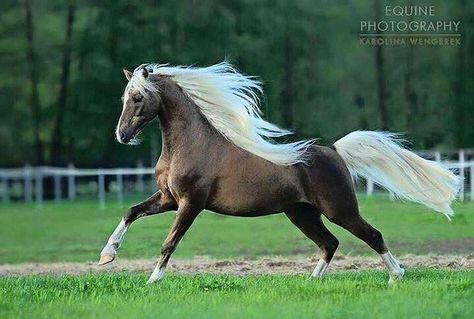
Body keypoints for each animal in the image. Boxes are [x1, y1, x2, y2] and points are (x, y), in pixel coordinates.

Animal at [99, 61, 460, 284]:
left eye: (137, 97)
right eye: (124, 97)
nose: (122, 135)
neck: (189, 146)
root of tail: (334, 151)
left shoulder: (190, 203)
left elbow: (169, 242)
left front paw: (153, 279)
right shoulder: (168, 198)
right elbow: (130, 212)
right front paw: (107, 256)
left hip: (339, 209)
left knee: (372, 235)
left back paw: (396, 275)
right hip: (301, 213)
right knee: (330, 243)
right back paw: (312, 281)